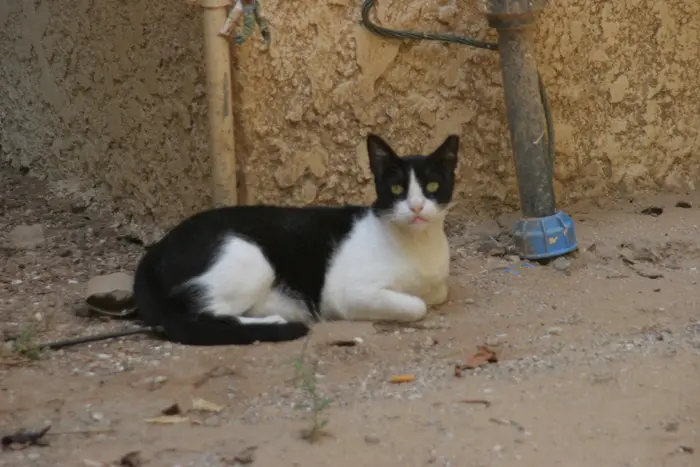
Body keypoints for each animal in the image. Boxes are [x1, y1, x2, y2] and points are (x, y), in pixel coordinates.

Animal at [133, 133, 460, 346]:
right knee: (193, 316)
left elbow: (437, 293)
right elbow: (417, 305)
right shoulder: (347, 294)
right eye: (397, 190)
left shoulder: (438, 285)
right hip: (250, 258)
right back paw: (275, 323)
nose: (416, 208)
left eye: (432, 186)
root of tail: (155, 250)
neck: (417, 245)